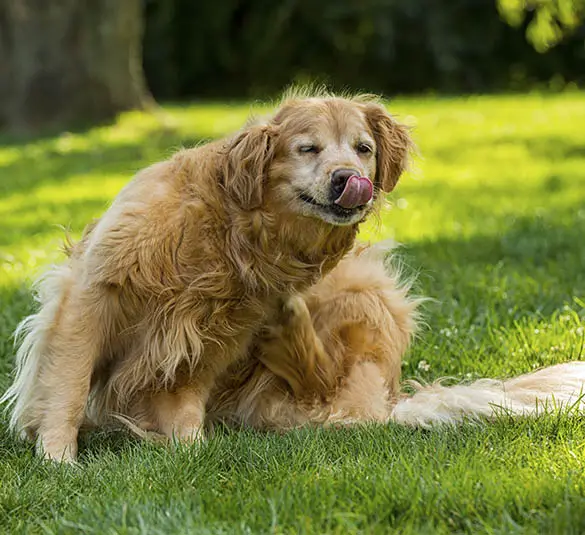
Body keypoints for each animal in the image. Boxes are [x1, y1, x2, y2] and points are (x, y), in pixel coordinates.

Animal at [1, 90, 410, 462]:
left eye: (364, 149)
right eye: (308, 148)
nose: (348, 178)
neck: (232, 227)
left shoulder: (207, 333)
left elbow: (183, 398)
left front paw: (192, 448)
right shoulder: (94, 292)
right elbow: (69, 382)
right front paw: (58, 455)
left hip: (364, 286)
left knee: (327, 384)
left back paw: (288, 323)